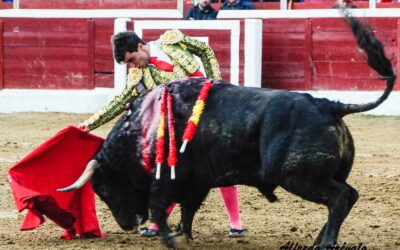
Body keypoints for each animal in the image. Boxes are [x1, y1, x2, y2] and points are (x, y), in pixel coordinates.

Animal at [58, 17, 396, 248]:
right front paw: (182, 234)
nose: (128, 224)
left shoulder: (168, 180)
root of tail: (330, 105)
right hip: (323, 173)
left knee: (339, 198)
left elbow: (162, 206)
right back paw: (316, 240)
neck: (141, 129)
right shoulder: (197, 179)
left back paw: (324, 243)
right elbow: (188, 209)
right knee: (348, 195)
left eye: (102, 188)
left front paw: (169, 237)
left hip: (297, 175)